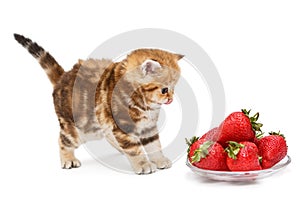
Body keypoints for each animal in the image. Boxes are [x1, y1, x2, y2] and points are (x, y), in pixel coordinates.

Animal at [14, 33, 183, 174]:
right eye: (164, 89)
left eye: (174, 87)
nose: (171, 99)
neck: (145, 104)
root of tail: (63, 77)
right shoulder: (123, 124)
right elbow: (134, 149)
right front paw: (143, 164)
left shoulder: (148, 126)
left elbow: (154, 144)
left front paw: (159, 159)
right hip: (79, 129)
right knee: (63, 140)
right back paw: (68, 159)